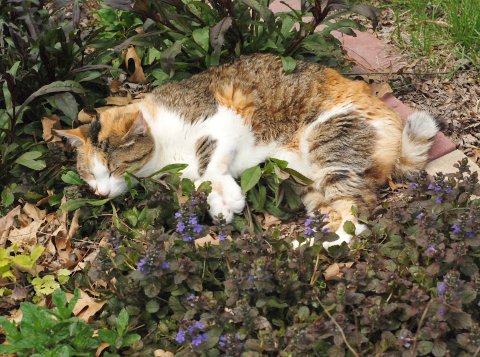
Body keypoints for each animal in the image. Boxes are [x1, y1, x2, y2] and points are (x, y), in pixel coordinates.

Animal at [54, 53, 440, 248]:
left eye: (113, 169)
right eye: (90, 175)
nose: (100, 193)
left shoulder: (226, 117)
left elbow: (209, 164)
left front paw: (229, 198)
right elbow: (201, 181)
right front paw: (220, 205)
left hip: (330, 144)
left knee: (353, 220)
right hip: (304, 181)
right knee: (336, 214)